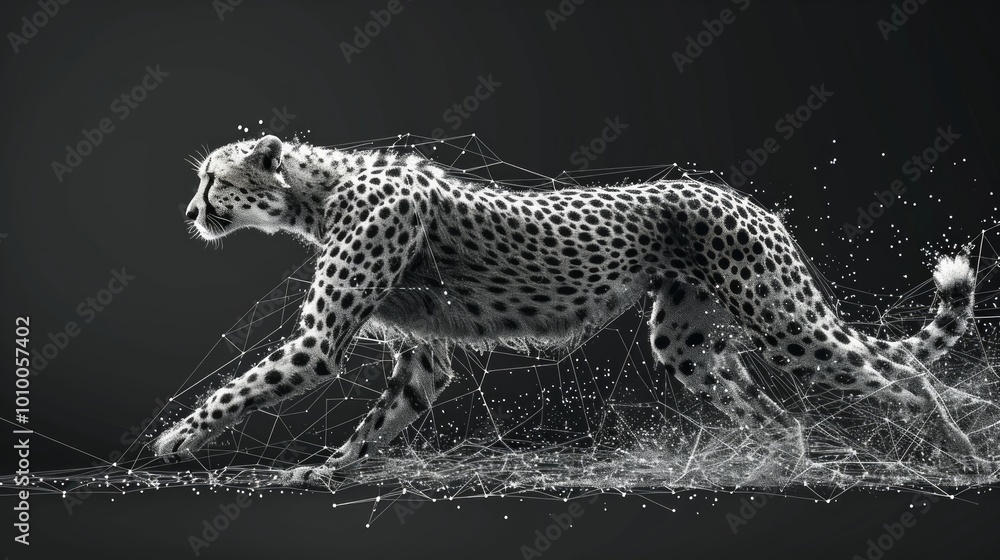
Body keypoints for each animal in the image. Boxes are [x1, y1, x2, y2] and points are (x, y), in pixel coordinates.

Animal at [152, 134, 992, 484]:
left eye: (213, 180)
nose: (189, 213)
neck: (314, 192)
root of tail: (746, 199)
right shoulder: (423, 355)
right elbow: (380, 420)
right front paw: (325, 471)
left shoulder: (321, 340)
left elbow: (241, 385)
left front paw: (176, 438)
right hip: (684, 340)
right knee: (777, 411)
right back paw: (775, 465)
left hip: (783, 321)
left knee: (902, 378)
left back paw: (968, 457)